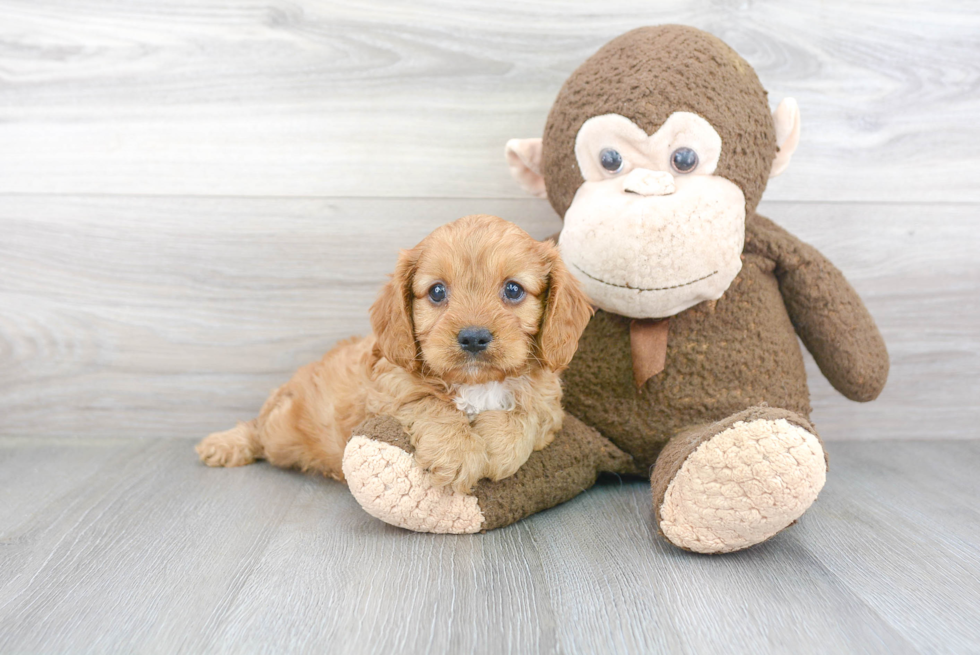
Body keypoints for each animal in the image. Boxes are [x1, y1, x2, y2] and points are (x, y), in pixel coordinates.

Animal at [196, 214, 592, 492]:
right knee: (257, 430)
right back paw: (223, 444)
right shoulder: (388, 390)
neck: (477, 385)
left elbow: (528, 413)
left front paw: (497, 445)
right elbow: (428, 404)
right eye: (437, 292)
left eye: (513, 290)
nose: (474, 338)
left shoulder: (550, 402)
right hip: (280, 427)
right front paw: (459, 453)